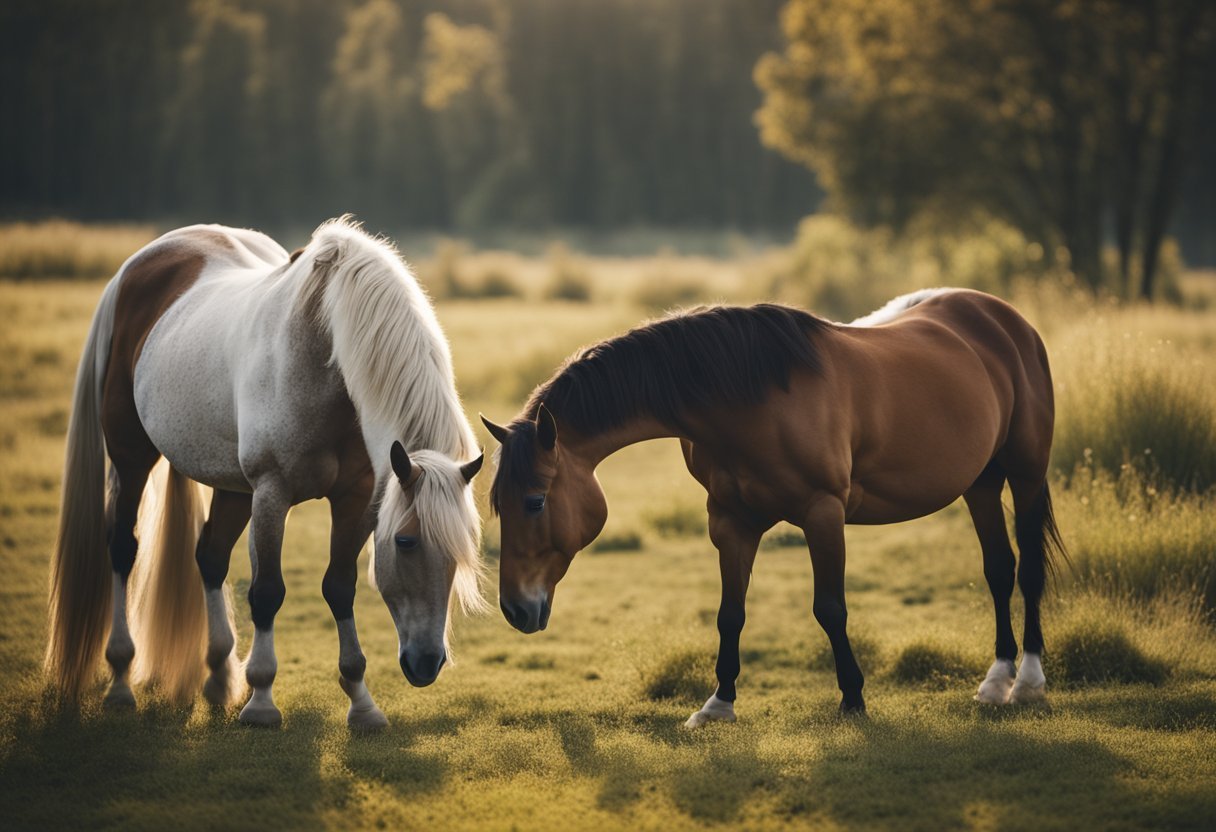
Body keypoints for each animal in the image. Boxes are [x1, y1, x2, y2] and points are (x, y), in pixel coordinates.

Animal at [47, 216, 483, 729]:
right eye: (406, 542)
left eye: (462, 548)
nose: (426, 663)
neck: (321, 351)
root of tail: (139, 265)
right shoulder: (272, 493)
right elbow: (268, 592)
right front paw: (261, 701)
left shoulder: (356, 499)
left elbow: (340, 586)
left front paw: (361, 702)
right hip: (132, 458)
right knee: (122, 548)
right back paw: (120, 680)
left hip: (233, 488)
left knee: (210, 556)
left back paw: (218, 678)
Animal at [483, 290, 1065, 720]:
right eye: (500, 506)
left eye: (534, 502)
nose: (515, 609)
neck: (748, 399)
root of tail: (1004, 319)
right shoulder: (730, 521)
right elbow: (730, 612)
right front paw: (718, 704)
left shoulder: (823, 512)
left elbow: (830, 608)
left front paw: (853, 700)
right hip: (981, 483)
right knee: (999, 570)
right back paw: (995, 681)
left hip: (1025, 473)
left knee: (1028, 570)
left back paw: (1027, 682)